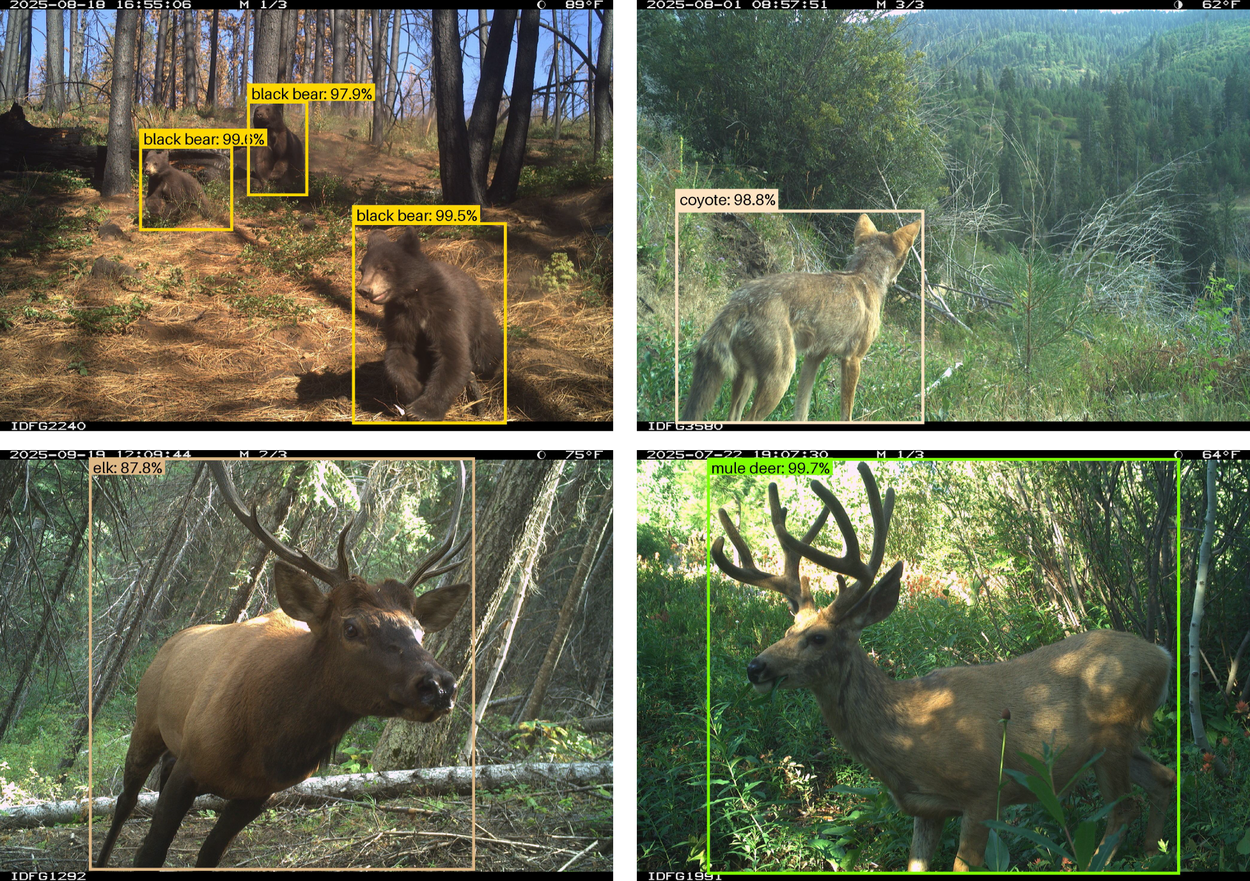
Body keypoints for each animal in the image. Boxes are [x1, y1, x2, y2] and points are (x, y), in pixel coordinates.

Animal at [94, 461, 472, 868]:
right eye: (351, 627)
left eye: (419, 629)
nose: (439, 685)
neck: (267, 742)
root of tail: (172, 642)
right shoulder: (191, 767)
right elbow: (149, 852)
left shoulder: (259, 794)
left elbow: (209, 855)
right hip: (146, 723)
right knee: (126, 801)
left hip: (171, 748)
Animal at [711, 462, 1176, 871]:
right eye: (789, 628)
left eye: (819, 637)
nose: (756, 667)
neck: (911, 735)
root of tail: (1163, 655)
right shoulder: (926, 808)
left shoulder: (985, 792)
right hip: (1121, 743)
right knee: (1165, 778)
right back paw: (1152, 855)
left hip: (1112, 738)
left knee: (1124, 809)